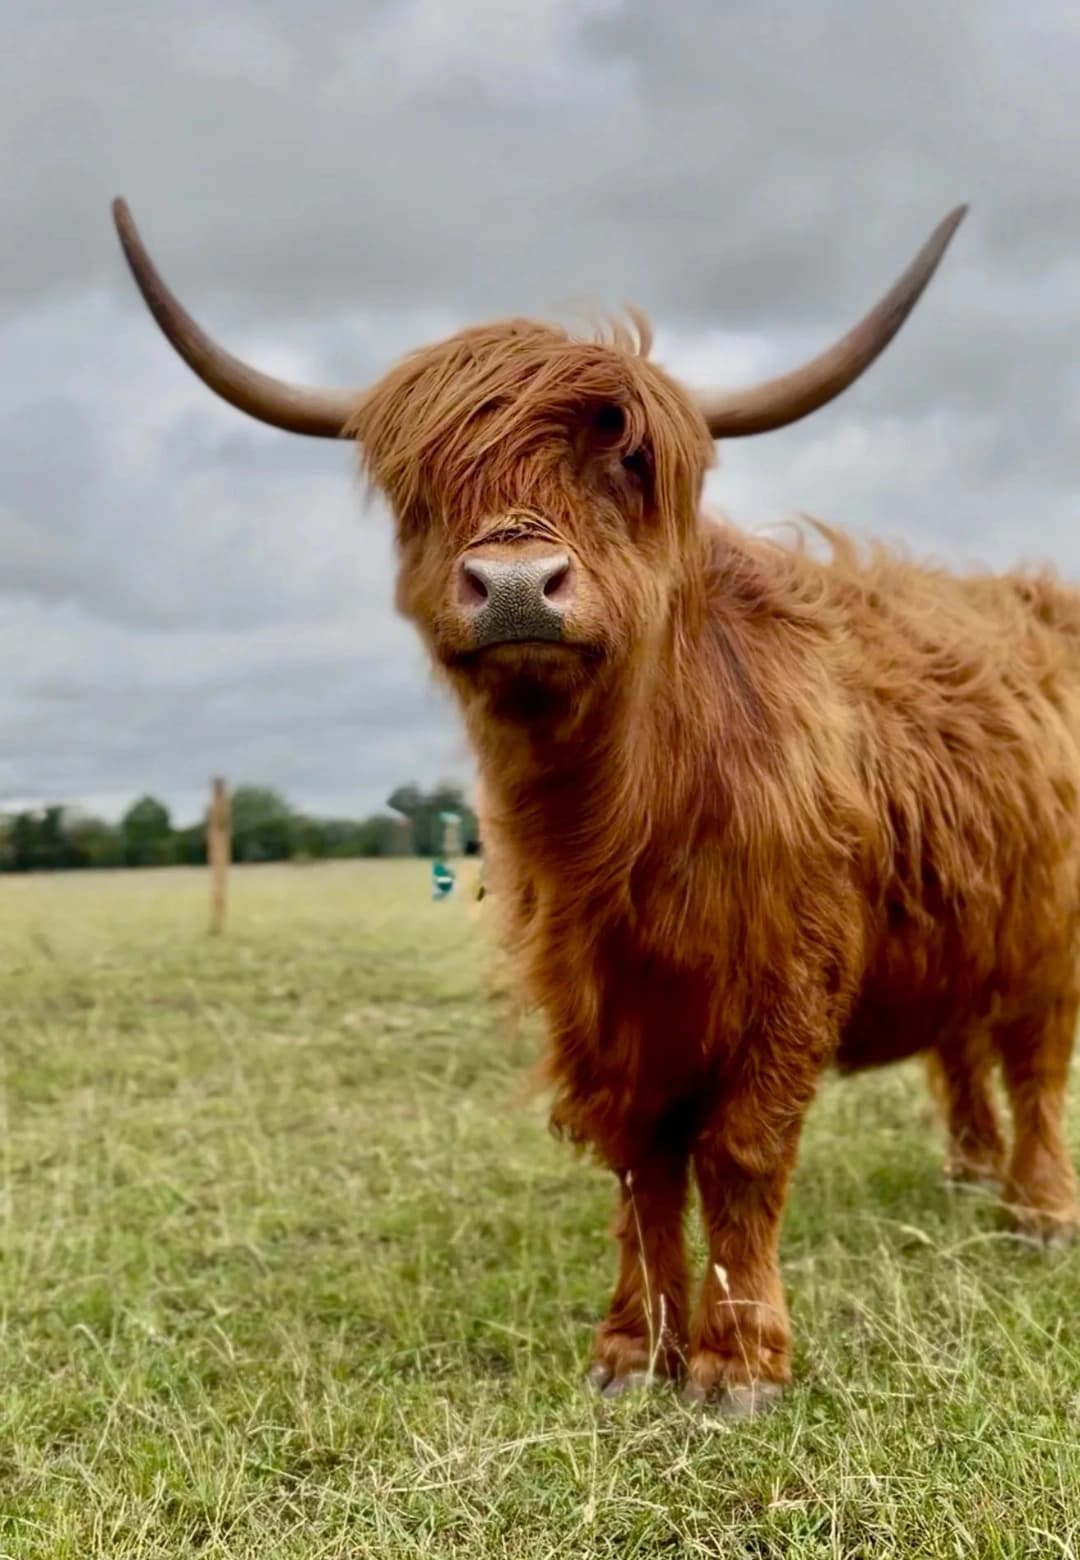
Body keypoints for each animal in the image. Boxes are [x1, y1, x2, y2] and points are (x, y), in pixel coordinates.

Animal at [111, 197, 1079, 1415]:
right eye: (422, 484)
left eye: (628, 461)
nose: (518, 585)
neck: (619, 833)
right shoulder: (588, 997)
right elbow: (638, 1160)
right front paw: (632, 1347)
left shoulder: (790, 975)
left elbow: (739, 1153)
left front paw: (739, 1361)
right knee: (963, 1046)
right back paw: (966, 1168)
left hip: (1049, 933)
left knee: (1036, 1061)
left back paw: (1036, 1210)